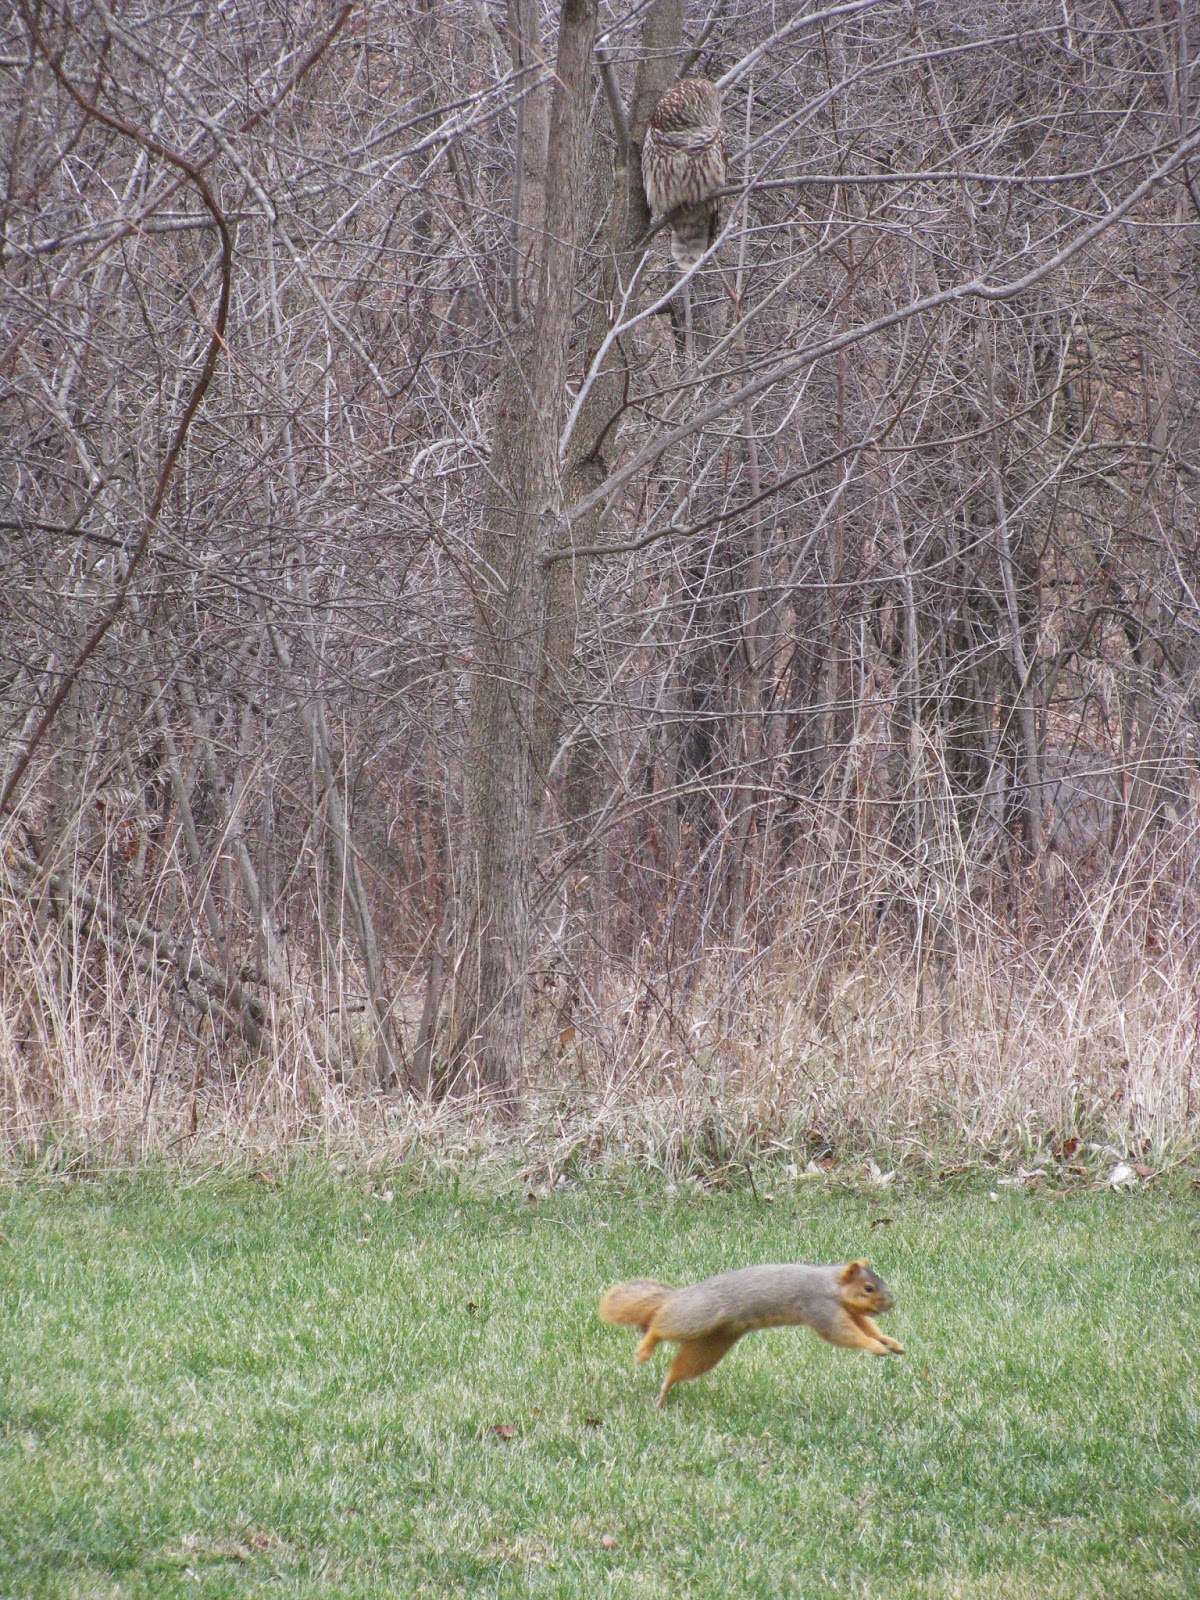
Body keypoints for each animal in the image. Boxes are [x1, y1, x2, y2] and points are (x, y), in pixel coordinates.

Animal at [599, 1259, 903, 1407]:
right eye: (868, 1288)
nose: (891, 1304)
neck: (831, 1286)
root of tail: (679, 1296)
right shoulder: (819, 1307)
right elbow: (845, 1334)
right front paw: (875, 1347)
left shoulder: (849, 1312)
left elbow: (866, 1326)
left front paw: (890, 1342)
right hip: (696, 1316)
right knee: (660, 1325)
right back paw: (645, 1349)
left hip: (710, 1346)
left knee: (679, 1368)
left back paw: (663, 1395)